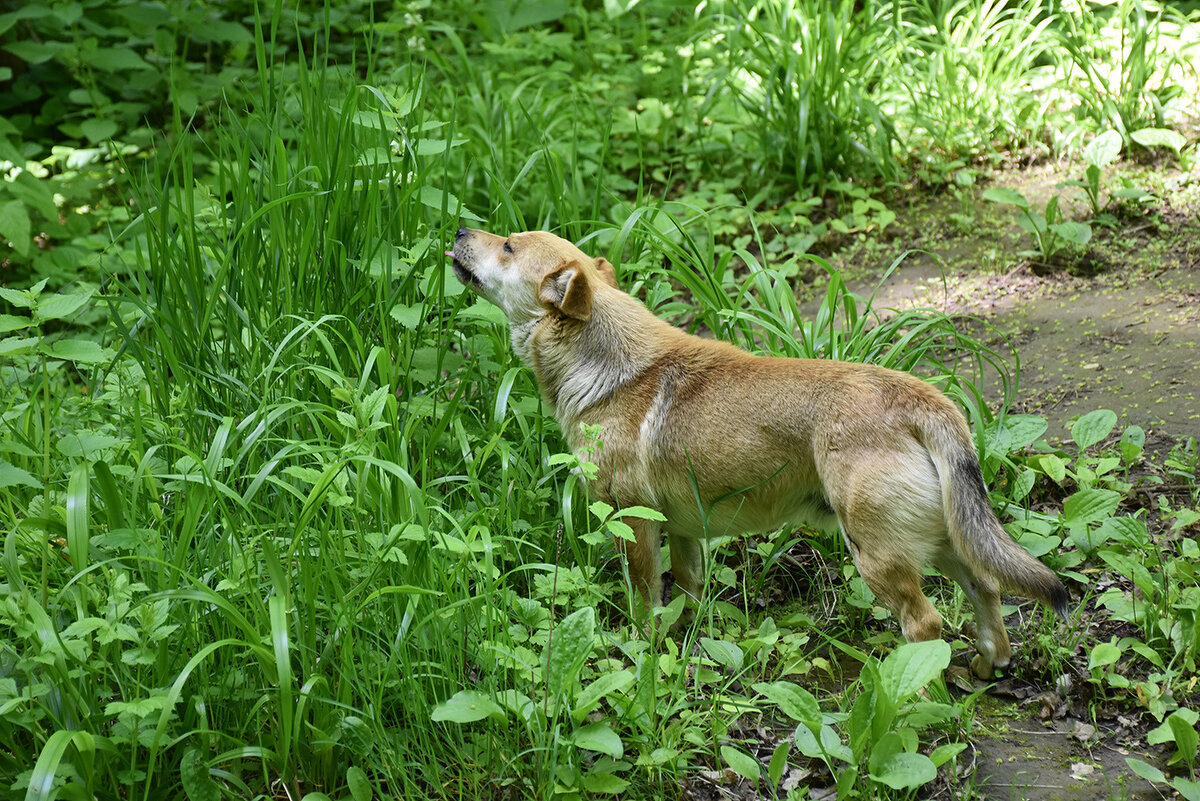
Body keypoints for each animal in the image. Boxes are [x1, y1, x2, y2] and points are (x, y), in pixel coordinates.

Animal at [451, 225, 1070, 676]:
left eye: (508, 247)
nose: (459, 228)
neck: (609, 367)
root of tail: (922, 398)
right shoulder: (686, 530)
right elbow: (690, 594)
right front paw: (687, 646)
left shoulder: (634, 523)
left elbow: (645, 604)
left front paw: (644, 653)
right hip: (944, 536)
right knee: (987, 586)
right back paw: (990, 664)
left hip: (876, 553)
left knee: (925, 624)